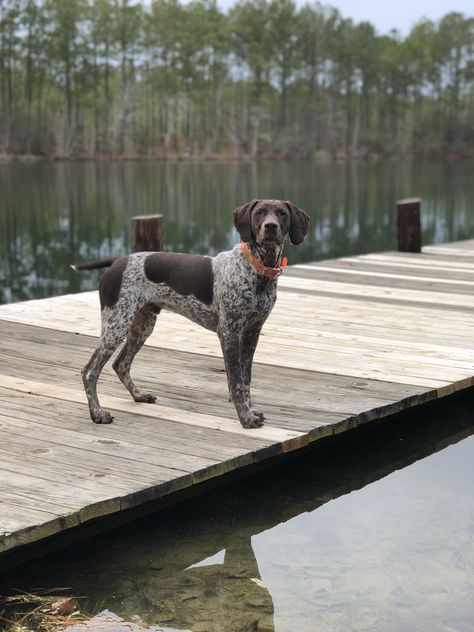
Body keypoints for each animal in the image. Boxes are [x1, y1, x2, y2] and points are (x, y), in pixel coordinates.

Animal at [74, 201, 310, 430]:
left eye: (281, 213)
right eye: (260, 212)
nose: (270, 227)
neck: (257, 270)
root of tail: (117, 261)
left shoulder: (252, 333)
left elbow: (246, 380)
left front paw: (251, 411)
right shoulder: (229, 333)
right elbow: (235, 383)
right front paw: (245, 418)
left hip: (141, 326)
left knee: (120, 364)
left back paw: (139, 395)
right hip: (116, 325)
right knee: (89, 371)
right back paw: (98, 414)